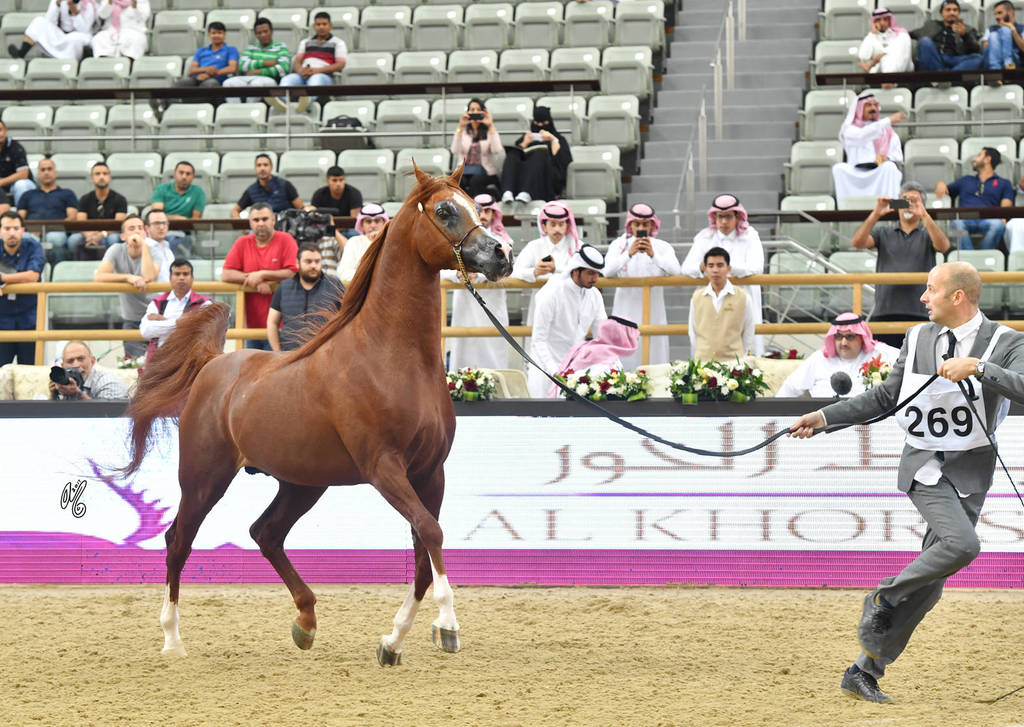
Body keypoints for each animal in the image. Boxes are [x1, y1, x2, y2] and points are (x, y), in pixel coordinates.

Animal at [121, 164, 513, 666]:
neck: (390, 357)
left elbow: (424, 550)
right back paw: (172, 639)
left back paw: (305, 623)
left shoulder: (430, 472)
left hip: (302, 483)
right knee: (179, 542)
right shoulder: (384, 468)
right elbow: (431, 533)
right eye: (445, 210)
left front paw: (392, 642)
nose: (501, 254)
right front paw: (446, 625)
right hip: (204, 478)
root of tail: (212, 365)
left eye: (474, 206)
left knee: (265, 533)